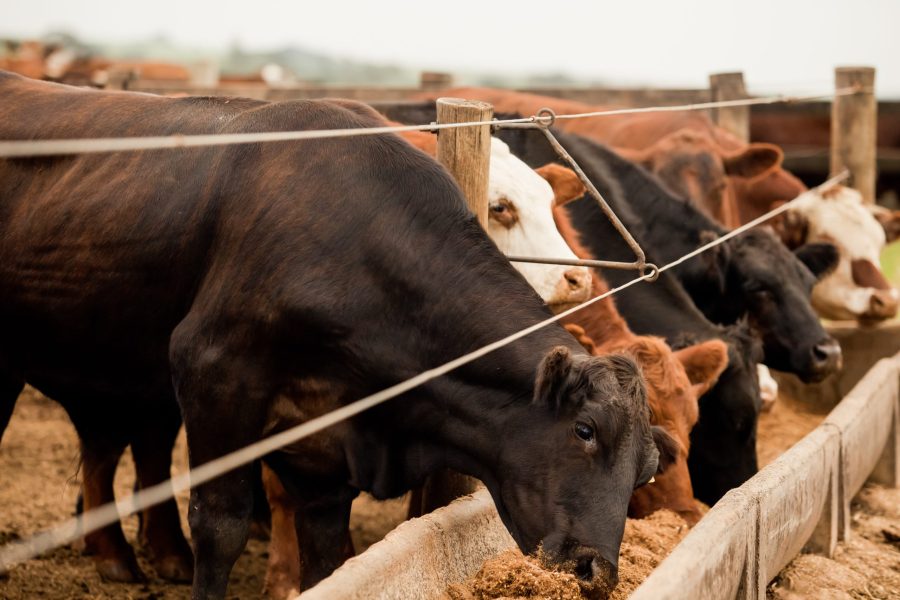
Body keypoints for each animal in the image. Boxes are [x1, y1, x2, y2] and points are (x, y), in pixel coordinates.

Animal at [0, 71, 676, 598]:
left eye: (647, 468)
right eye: (584, 430)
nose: (596, 570)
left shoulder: (326, 450)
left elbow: (330, 557)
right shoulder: (212, 375)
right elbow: (220, 525)